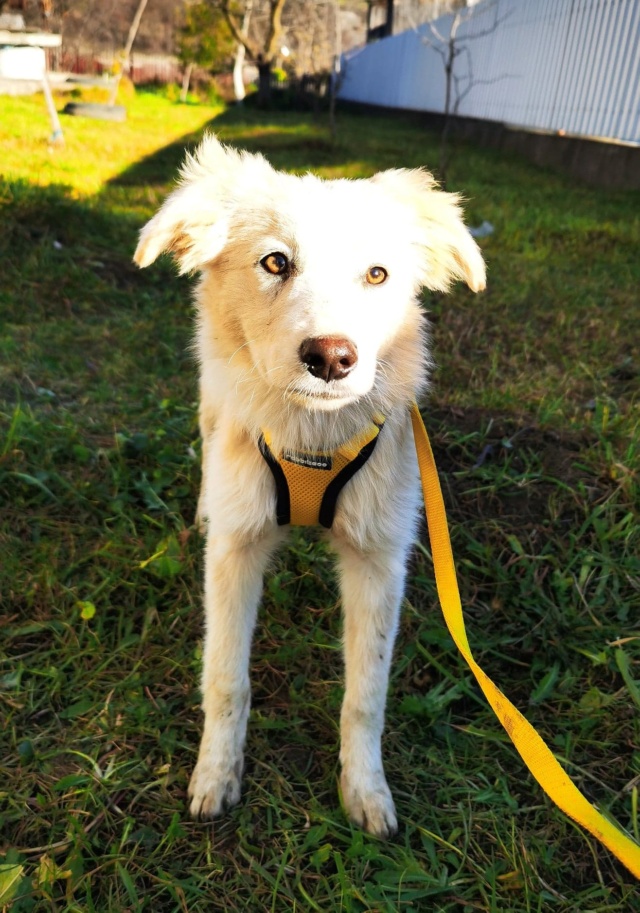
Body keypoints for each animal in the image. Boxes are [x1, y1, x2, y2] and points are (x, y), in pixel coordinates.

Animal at [136, 132, 484, 836]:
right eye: (275, 262)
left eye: (378, 274)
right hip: (211, 407)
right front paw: (216, 776)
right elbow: (226, 678)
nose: (331, 357)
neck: (313, 439)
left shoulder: (380, 560)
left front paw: (366, 792)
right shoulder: (236, 551)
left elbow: (366, 693)